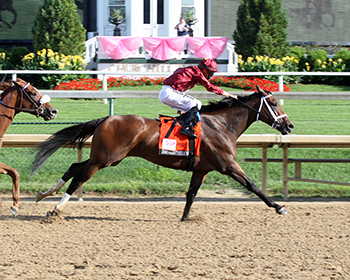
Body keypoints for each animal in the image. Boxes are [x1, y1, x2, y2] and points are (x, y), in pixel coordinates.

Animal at [34, 86, 294, 220]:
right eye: (273, 102)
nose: (289, 126)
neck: (222, 124)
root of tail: (107, 119)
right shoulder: (227, 165)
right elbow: (252, 186)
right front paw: (279, 207)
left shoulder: (201, 169)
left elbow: (191, 194)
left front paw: (185, 217)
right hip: (105, 159)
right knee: (79, 176)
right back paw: (56, 209)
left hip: (105, 157)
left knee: (74, 168)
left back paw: (44, 194)